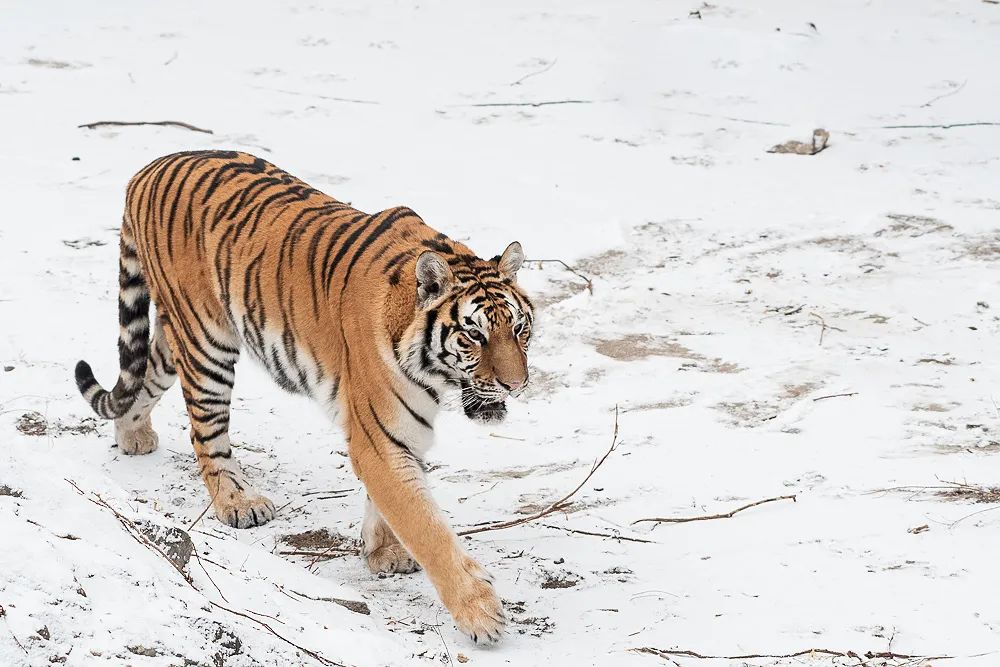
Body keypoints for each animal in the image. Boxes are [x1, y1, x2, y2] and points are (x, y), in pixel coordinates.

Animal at [74, 150, 536, 640]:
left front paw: (383, 553)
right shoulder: (378, 436)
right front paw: (480, 612)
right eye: (474, 335)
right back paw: (238, 503)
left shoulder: (400, 432)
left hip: (175, 335)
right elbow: (425, 524)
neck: (429, 369)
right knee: (206, 431)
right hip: (207, 339)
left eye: (519, 329)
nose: (516, 385)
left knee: (143, 377)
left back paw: (133, 436)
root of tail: (149, 167)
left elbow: (393, 504)